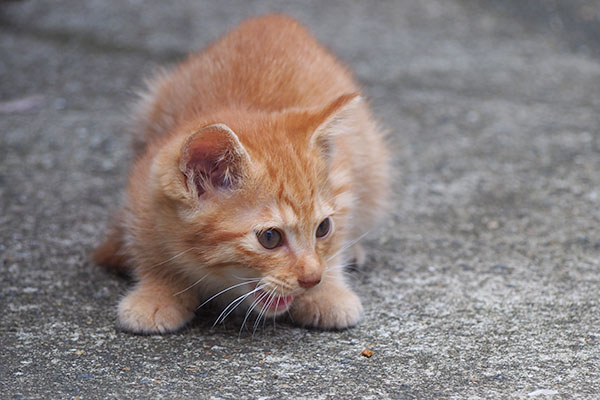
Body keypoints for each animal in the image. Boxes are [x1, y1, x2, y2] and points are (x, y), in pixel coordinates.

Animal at [92, 14, 392, 334]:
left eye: (323, 228)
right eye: (270, 238)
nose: (312, 278)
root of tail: (275, 18)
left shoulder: (342, 179)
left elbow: (340, 233)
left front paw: (327, 291)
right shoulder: (142, 189)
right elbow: (145, 245)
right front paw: (157, 291)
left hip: (373, 162)